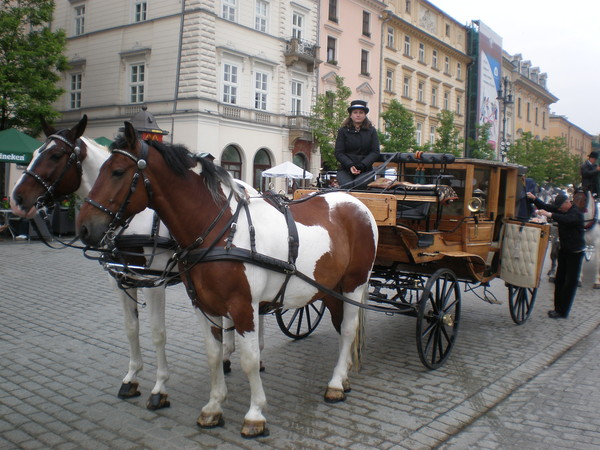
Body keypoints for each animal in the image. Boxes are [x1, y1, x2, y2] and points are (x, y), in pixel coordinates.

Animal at [9, 115, 176, 408]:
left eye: (54, 155)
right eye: (36, 151)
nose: (16, 199)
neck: (132, 217)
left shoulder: (153, 282)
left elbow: (158, 333)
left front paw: (159, 387)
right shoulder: (121, 279)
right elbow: (131, 328)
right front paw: (132, 378)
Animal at [77, 122, 378, 436]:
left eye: (117, 172)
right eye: (99, 169)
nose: (84, 227)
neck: (222, 230)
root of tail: (355, 202)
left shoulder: (244, 307)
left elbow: (250, 359)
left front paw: (255, 413)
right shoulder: (204, 305)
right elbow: (213, 353)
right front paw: (213, 407)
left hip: (354, 284)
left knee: (348, 330)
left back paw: (335, 384)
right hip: (329, 289)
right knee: (341, 325)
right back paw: (344, 377)